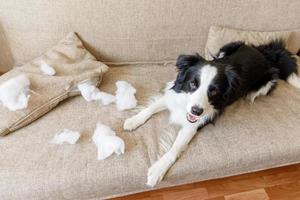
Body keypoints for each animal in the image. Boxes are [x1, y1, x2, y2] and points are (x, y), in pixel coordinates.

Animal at [123, 40, 298, 186]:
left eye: (213, 91)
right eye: (193, 83)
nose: (196, 111)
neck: (185, 105)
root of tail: (265, 54)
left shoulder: (194, 125)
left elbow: (175, 148)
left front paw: (158, 169)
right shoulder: (174, 96)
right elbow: (150, 108)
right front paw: (133, 121)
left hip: (265, 85)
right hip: (227, 47)